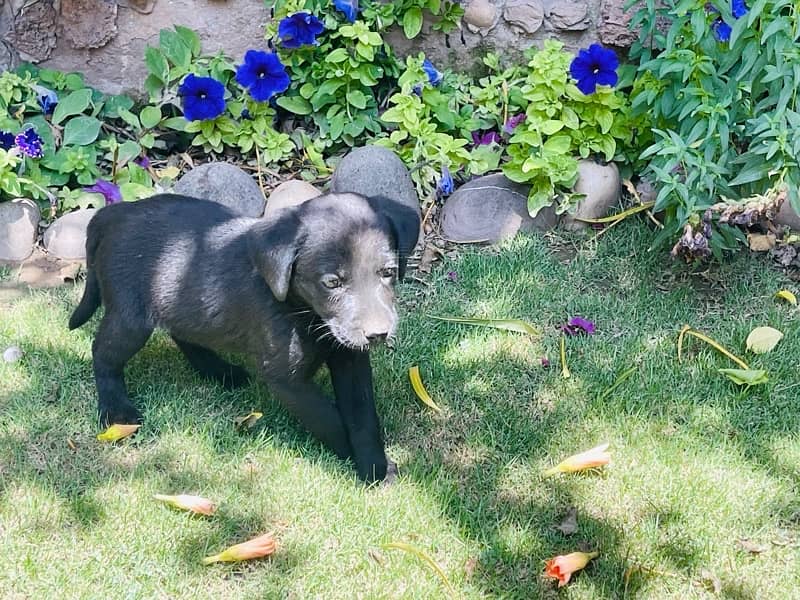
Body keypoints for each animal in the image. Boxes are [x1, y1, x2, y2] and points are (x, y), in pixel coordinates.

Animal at [70, 192, 418, 482]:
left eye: (387, 272)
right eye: (332, 282)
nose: (378, 334)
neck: (303, 312)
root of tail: (116, 212)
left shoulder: (350, 357)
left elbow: (362, 417)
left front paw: (375, 465)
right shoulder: (286, 379)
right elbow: (329, 421)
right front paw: (365, 465)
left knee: (184, 333)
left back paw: (220, 371)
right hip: (130, 319)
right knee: (103, 352)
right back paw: (115, 409)